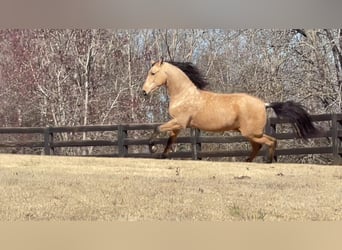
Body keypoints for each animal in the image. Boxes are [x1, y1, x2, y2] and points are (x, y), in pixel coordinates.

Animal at [142, 59, 318, 163]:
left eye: (153, 73)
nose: (144, 92)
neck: (184, 95)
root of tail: (264, 104)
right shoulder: (177, 126)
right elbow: (169, 141)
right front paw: (162, 155)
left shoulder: (180, 122)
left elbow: (157, 128)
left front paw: (152, 148)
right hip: (251, 133)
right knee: (259, 145)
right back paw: (247, 161)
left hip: (251, 133)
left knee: (270, 141)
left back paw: (267, 161)